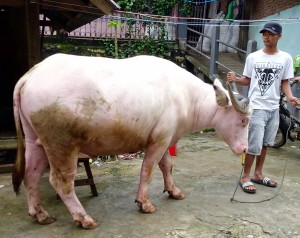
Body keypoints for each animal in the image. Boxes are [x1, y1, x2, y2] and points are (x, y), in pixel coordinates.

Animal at [11, 53, 251, 229]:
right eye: (243, 120)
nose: (245, 148)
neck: (186, 95)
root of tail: (31, 75)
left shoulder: (165, 138)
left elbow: (167, 166)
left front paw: (173, 191)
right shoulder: (158, 140)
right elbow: (148, 170)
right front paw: (144, 203)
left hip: (34, 141)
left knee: (31, 175)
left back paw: (40, 214)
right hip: (61, 145)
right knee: (61, 182)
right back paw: (84, 218)